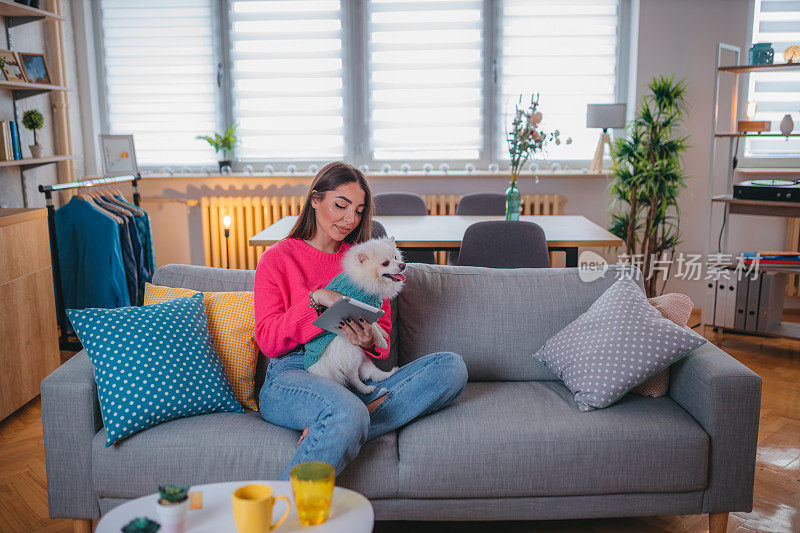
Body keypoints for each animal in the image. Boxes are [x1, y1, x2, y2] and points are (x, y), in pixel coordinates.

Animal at [306, 237, 406, 394]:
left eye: (396, 258)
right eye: (385, 263)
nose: (403, 265)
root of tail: (323, 366)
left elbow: (376, 324)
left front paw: (383, 333)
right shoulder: (359, 307)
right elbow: (374, 328)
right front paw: (382, 341)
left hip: (361, 357)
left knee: (370, 373)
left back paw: (389, 373)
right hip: (351, 351)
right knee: (352, 377)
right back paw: (366, 389)